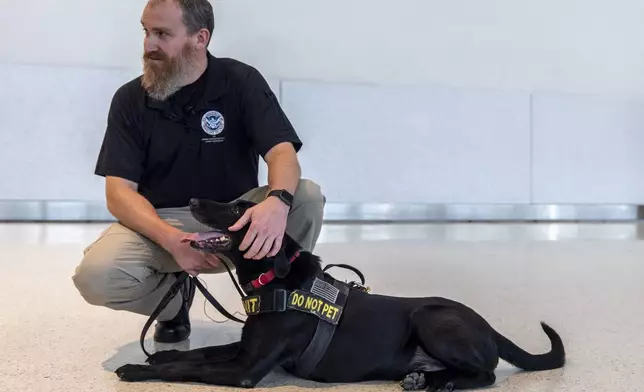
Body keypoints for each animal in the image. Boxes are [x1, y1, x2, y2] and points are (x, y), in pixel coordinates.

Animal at [114, 199, 564, 392]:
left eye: (237, 209)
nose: (191, 199)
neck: (279, 283)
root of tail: (488, 326)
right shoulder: (244, 349)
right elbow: (198, 354)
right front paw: (159, 356)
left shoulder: (245, 369)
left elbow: (188, 368)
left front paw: (137, 369)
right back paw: (424, 377)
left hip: (430, 318)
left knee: (486, 374)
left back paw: (442, 383)